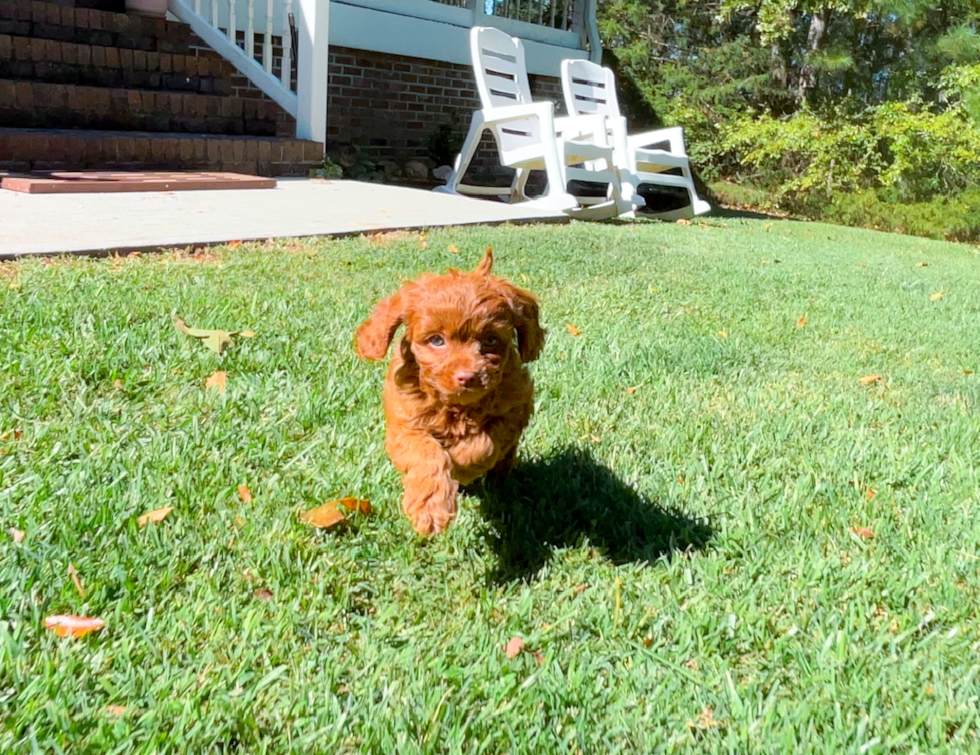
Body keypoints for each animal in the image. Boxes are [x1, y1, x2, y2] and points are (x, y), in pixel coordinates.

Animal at [358, 251, 548, 536]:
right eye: (436, 340)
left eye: (490, 341)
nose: (467, 377)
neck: (456, 408)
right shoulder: (405, 425)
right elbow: (425, 452)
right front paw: (429, 509)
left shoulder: (516, 406)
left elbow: (485, 443)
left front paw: (462, 465)